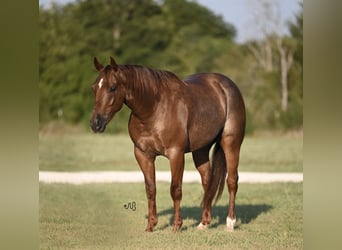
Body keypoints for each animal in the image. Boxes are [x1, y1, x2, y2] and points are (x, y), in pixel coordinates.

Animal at [90, 57, 246, 232]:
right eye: (94, 87)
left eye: (112, 88)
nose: (95, 123)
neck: (153, 109)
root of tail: (227, 85)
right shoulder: (143, 155)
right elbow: (151, 189)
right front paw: (151, 226)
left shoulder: (176, 154)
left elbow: (175, 189)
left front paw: (176, 226)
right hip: (201, 149)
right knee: (208, 181)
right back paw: (204, 222)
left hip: (231, 143)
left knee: (232, 180)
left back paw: (230, 222)